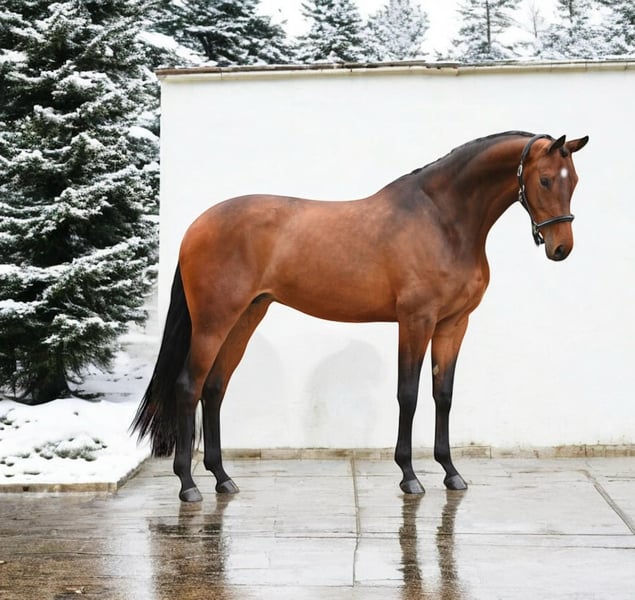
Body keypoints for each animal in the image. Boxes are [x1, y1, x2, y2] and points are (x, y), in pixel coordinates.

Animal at [132, 131, 589, 502]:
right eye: (545, 180)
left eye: (575, 181)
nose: (561, 247)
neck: (444, 220)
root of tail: (196, 227)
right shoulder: (416, 321)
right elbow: (409, 394)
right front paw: (409, 476)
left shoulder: (453, 324)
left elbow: (443, 394)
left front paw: (451, 473)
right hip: (213, 322)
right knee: (189, 387)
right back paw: (188, 485)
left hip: (245, 317)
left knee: (214, 389)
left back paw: (223, 478)